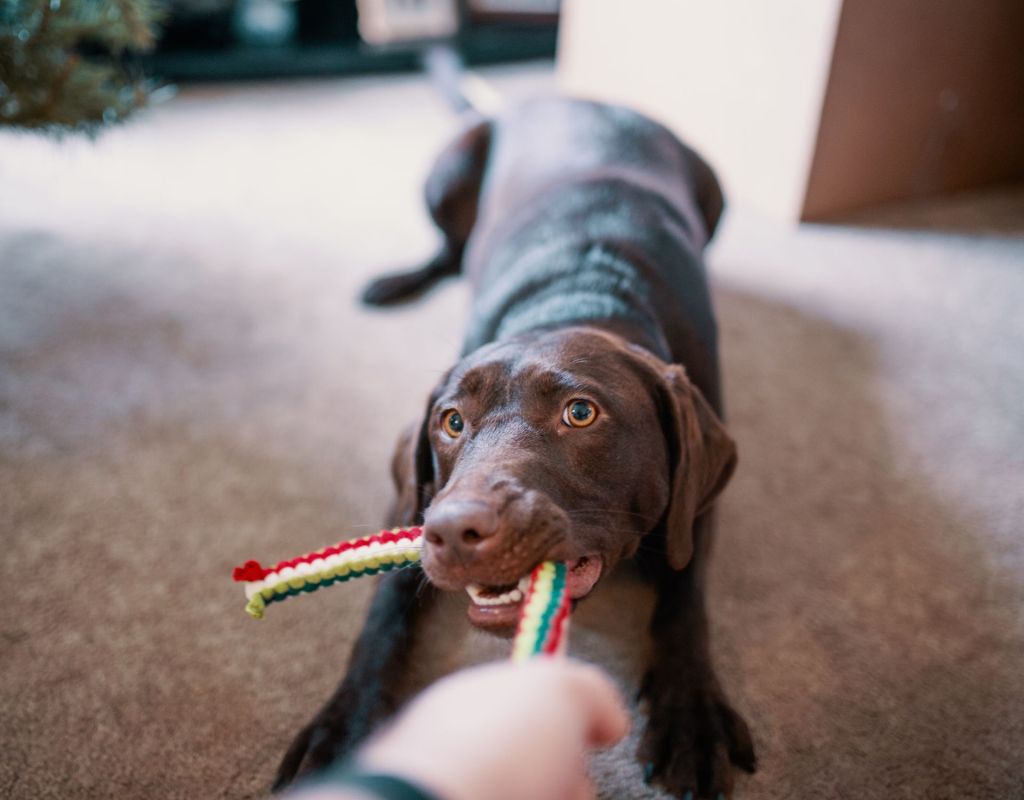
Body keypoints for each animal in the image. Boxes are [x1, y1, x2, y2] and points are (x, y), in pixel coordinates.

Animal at [276, 96, 757, 794]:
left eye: (580, 413)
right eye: (452, 422)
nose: (455, 531)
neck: (579, 296)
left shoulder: (697, 502)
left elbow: (684, 596)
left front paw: (690, 711)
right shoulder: (414, 500)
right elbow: (383, 612)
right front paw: (344, 724)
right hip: (447, 170)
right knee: (449, 252)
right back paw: (396, 281)